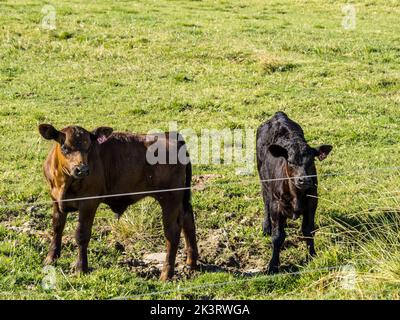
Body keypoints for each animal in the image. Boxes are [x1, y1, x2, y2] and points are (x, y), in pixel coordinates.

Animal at [39, 124, 198, 280]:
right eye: (65, 148)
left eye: (88, 147)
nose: (82, 169)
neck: (64, 183)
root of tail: (169, 134)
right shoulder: (55, 200)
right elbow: (57, 227)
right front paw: (50, 258)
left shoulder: (88, 202)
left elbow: (81, 235)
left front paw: (80, 268)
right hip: (180, 199)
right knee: (188, 220)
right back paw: (191, 262)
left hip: (170, 198)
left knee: (172, 232)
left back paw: (166, 275)